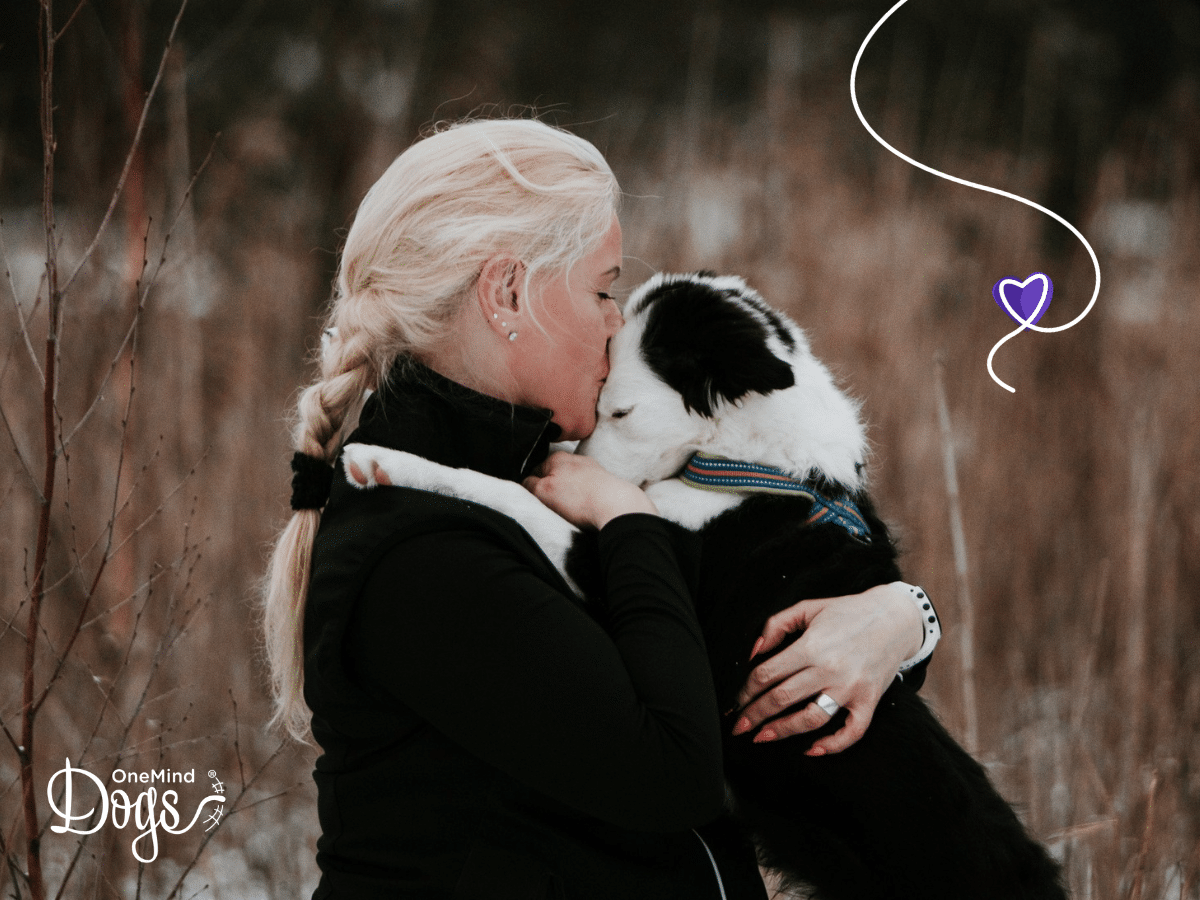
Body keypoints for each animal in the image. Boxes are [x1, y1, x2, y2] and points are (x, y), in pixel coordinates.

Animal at [343, 273, 1065, 900]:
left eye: (619, 409)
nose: (552, 462)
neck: (742, 467)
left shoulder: (612, 572)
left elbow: (501, 493)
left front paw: (384, 461)